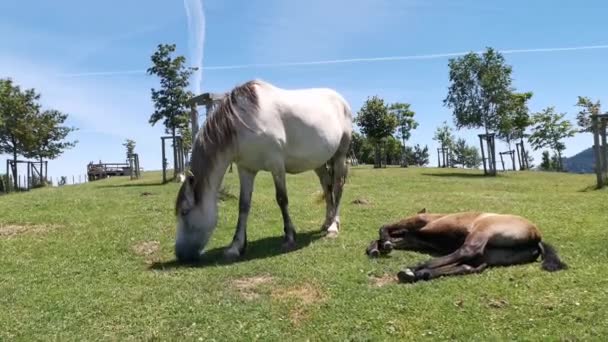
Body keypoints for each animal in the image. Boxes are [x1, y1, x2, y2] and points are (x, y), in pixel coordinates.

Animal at [173, 79, 354, 262]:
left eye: (184, 211)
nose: (180, 254)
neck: (245, 120)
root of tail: (342, 101)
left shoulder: (276, 165)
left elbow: (282, 199)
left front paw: (289, 237)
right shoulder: (245, 169)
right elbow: (243, 205)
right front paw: (236, 246)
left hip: (340, 155)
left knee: (337, 187)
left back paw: (333, 227)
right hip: (319, 162)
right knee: (327, 186)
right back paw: (326, 222)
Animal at [366, 208, 568, 284]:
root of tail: (536, 237)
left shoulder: (419, 221)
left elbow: (384, 227)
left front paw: (382, 244)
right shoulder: (412, 239)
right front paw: (376, 247)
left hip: (482, 231)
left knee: (467, 251)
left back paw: (415, 269)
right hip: (491, 255)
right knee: (467, 265)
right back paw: (420, 274)